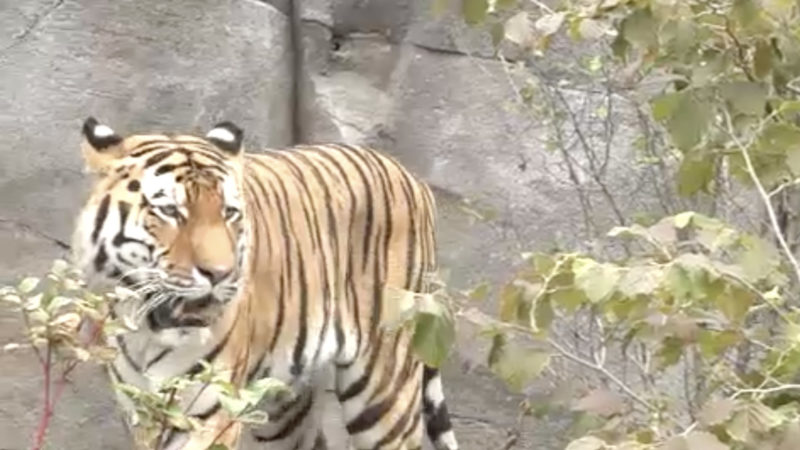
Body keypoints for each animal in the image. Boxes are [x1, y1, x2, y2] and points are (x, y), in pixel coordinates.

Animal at [72, 117, 460, 450]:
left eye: (229, 213)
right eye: (170, 212)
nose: (220, 273)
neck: (148, 329)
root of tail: (414, 179)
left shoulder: (208, 412)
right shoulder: (141, 412)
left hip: (384, 390)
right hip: (289, 407)